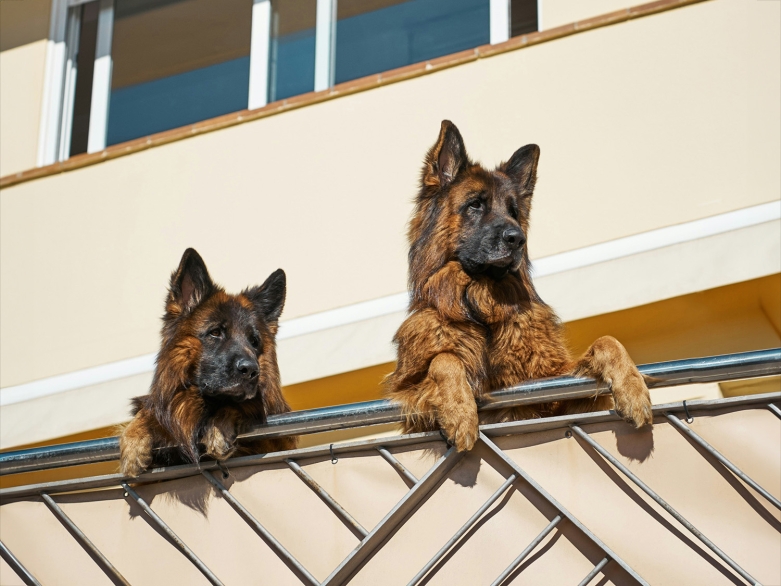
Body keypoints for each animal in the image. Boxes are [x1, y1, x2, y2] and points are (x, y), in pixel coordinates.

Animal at [119, 246, 296, 474]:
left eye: (254, 341)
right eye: (215, 332)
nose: (251, 370)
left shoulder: (280, 441)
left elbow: (240, 405)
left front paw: (219, 428)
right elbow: (150, 410)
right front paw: (133, 441)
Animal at [386, 121, 652, 450]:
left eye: (513, 211)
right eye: (475, 204)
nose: (517, 239)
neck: (482, 308)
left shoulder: (550, 391)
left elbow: (607, 340)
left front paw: (634, 390)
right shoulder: (409, 395)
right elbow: (444, 359)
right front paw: (460, 412)